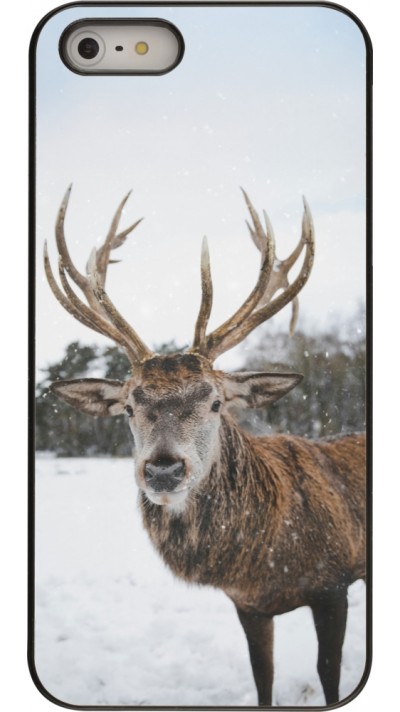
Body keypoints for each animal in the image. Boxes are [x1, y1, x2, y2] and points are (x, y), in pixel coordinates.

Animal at [43, 186, 366, 706]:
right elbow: (262, 676)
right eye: (129, 407)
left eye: (215, 402)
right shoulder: (248, 604)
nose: (163, 470)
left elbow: (329, 674)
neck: (265, 558)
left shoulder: (334, 582)